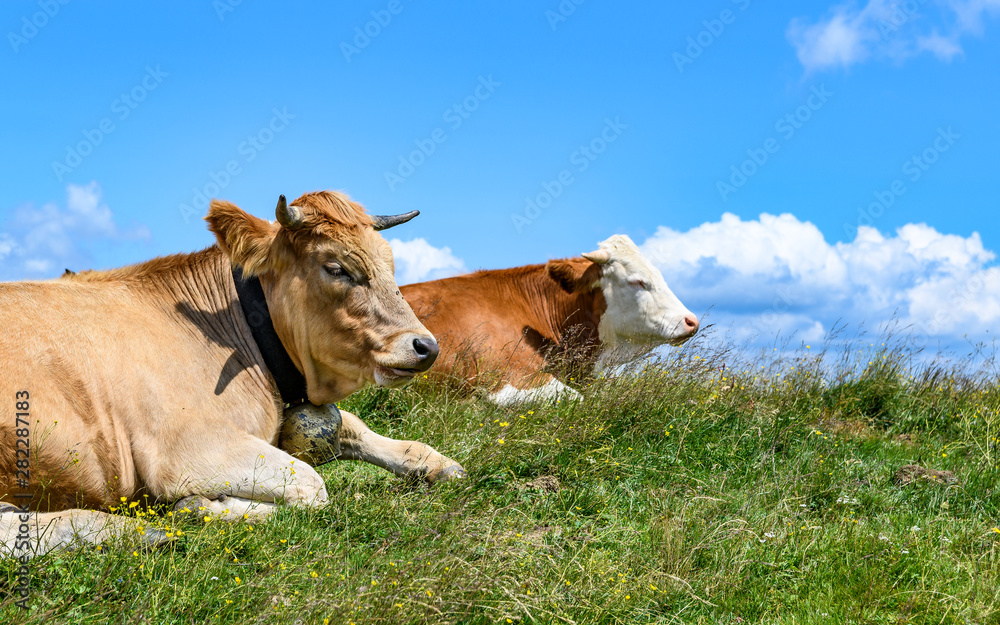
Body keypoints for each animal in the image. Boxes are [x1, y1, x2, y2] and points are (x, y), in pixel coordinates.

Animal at [0, 190, 466, 556]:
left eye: (391, 266)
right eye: (336, 268)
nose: (426, 347)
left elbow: (352, 427)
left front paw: (438, 464)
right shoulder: (185, 450)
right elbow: (313, 486)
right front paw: (207, 506)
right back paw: (131, 529)